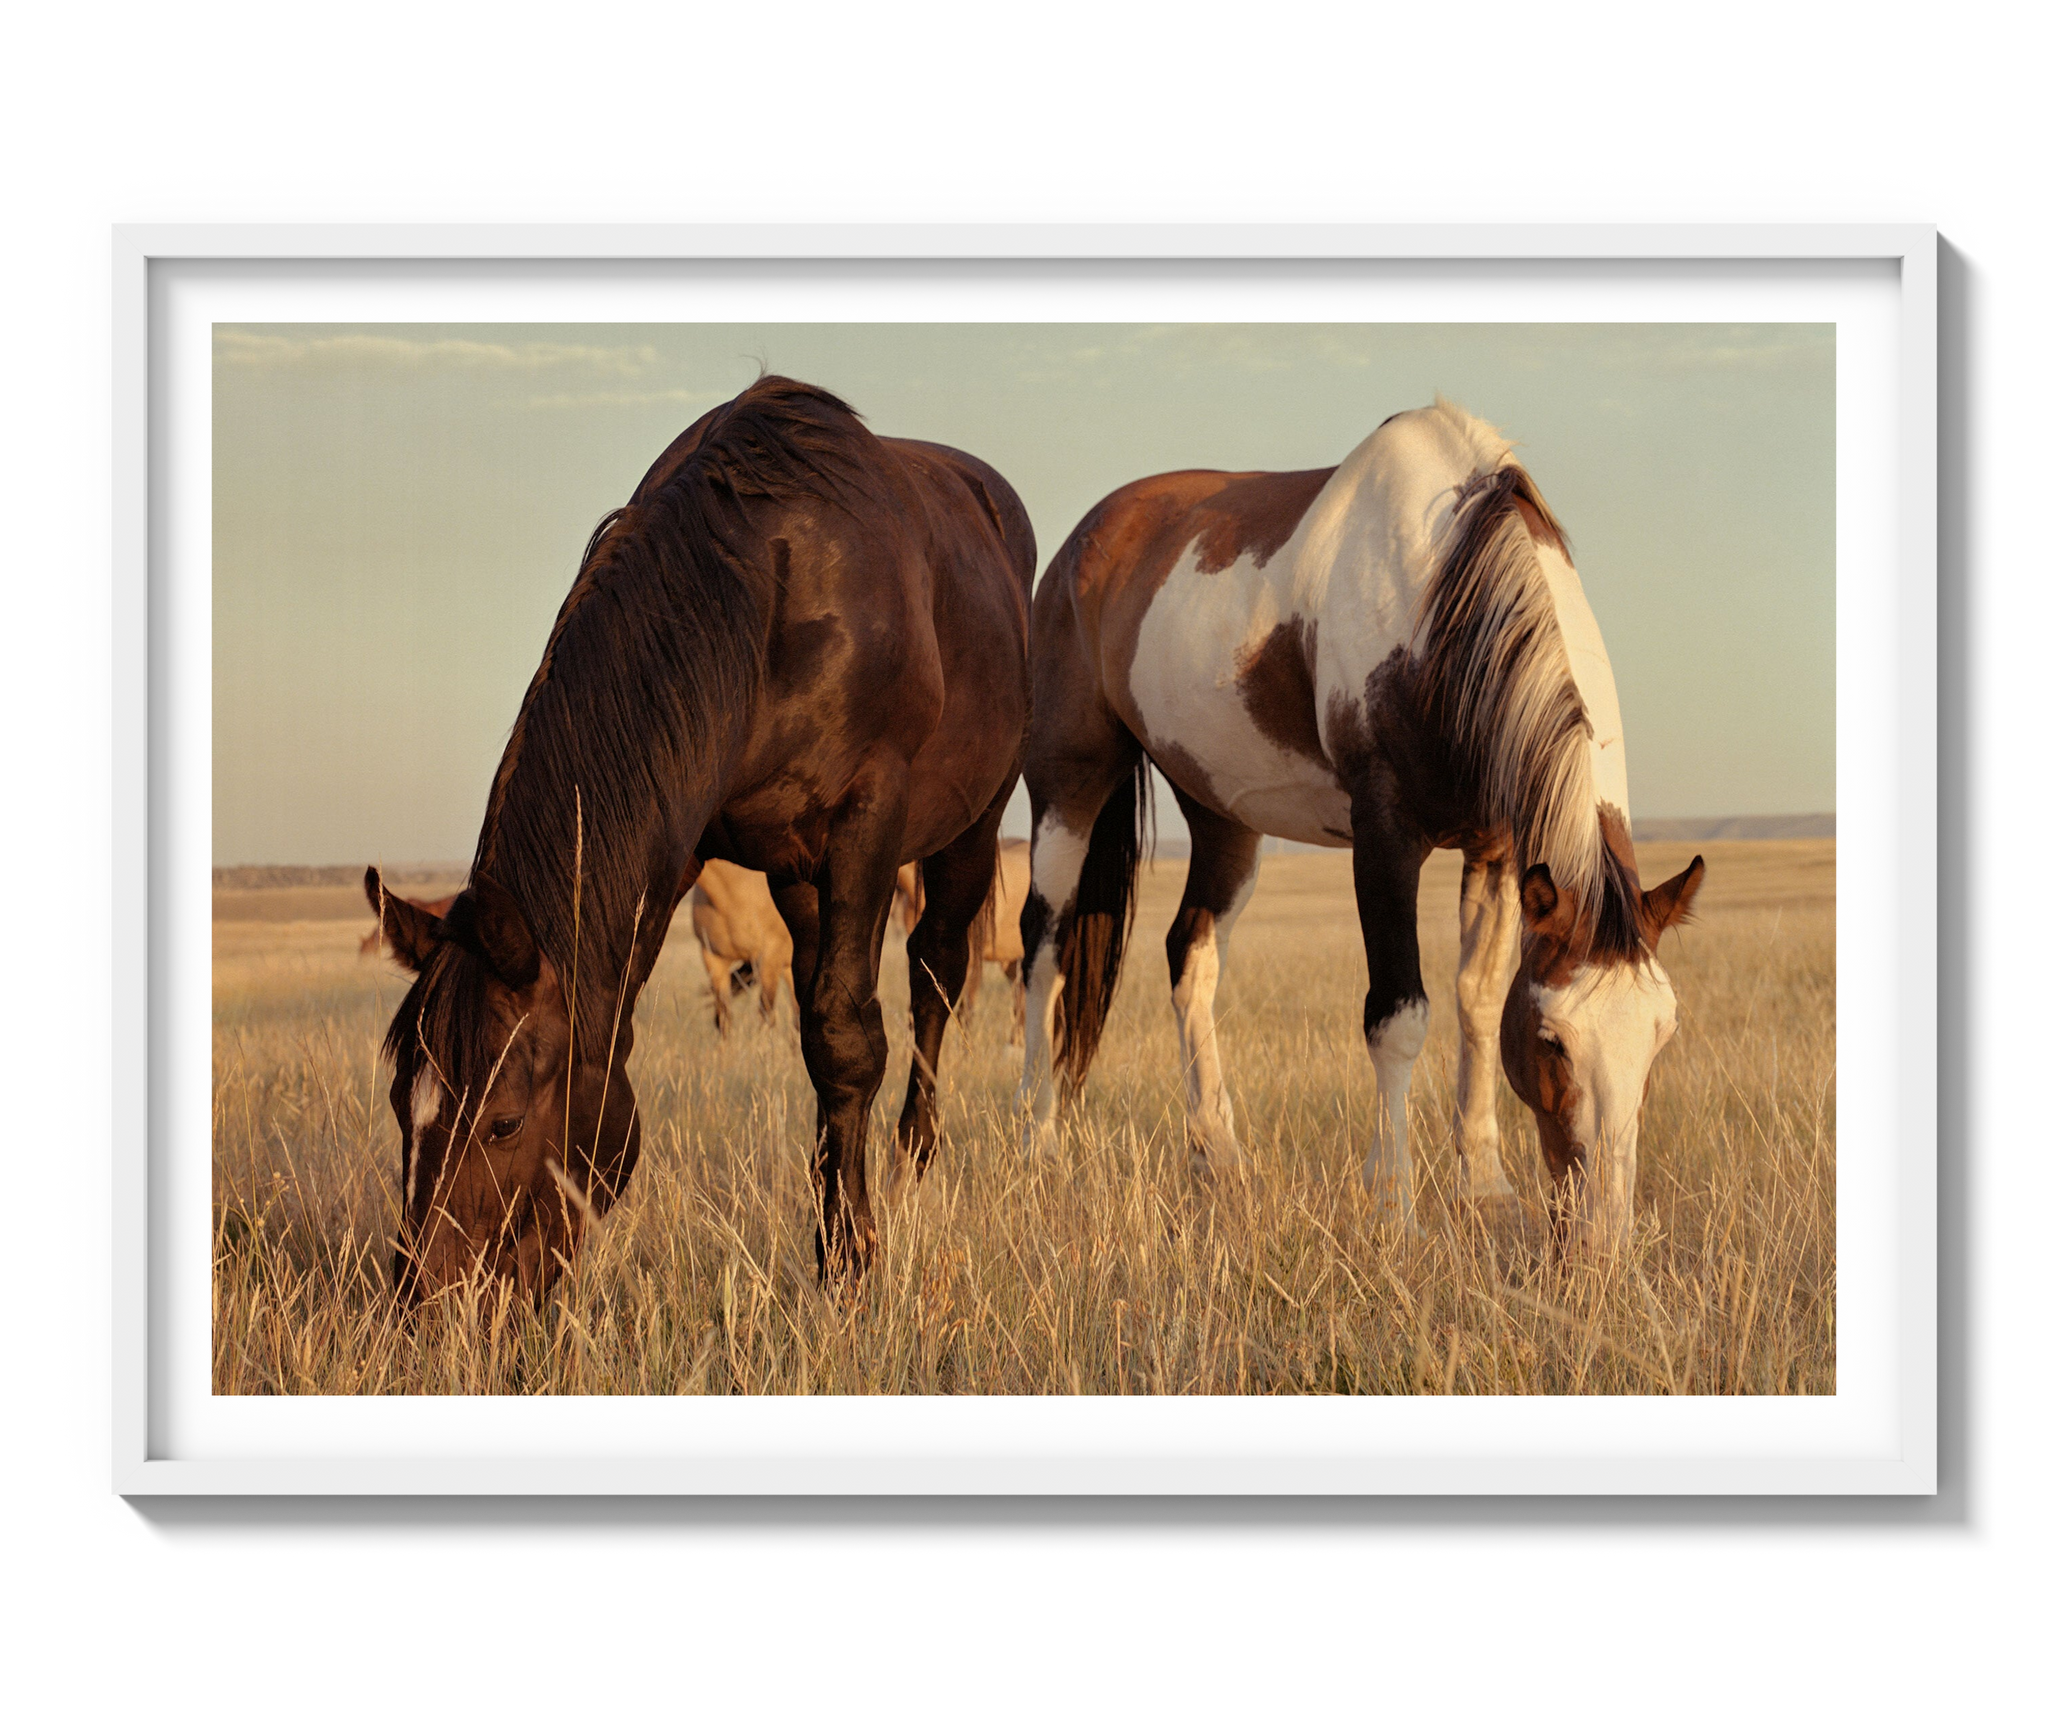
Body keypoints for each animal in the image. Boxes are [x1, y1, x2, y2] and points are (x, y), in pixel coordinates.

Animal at [1015, 405, 1703, 1261]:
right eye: (1552, 1041)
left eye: (1661, 1037)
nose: (1604, 1240)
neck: (1438, 594)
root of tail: (1082, 542)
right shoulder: (1385, 838)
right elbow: (1398, 1017)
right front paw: (1395, 1208)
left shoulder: (1498, 849)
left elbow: (1478, 1001)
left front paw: (1485, 1186)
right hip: (1068, 786)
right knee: (1043, 946)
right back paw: (1038, 1143)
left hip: (1223, 817)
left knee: (1190, 954)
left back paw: (1220, 1158)